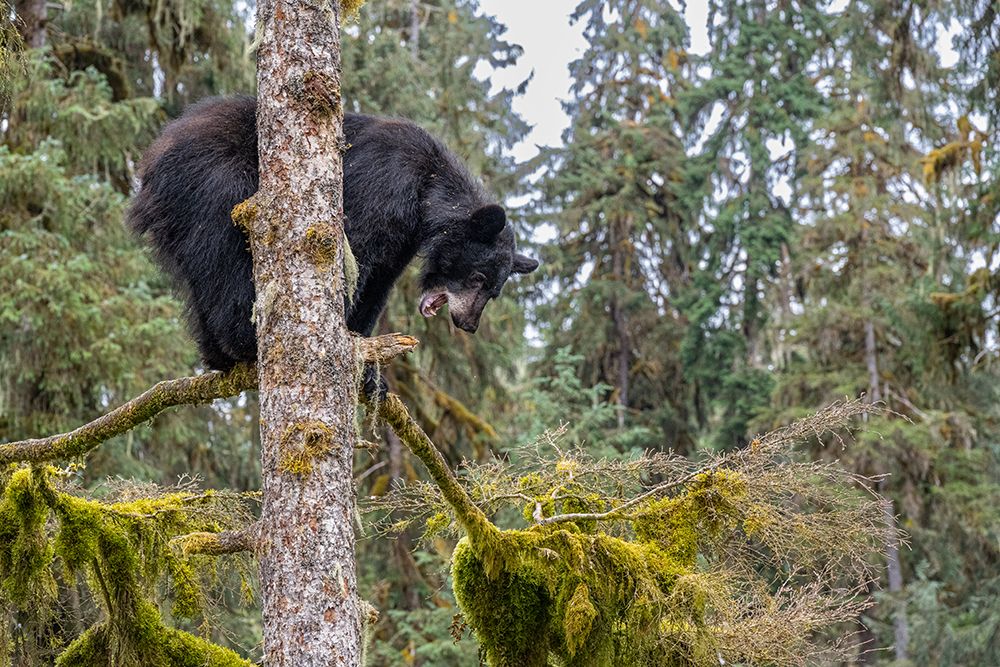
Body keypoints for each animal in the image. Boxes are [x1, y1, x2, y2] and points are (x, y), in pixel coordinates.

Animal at [126, 96, 538, 379]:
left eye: (493, 292)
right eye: (478, 277)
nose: (468, 324)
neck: (428, 188)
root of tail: (153, 155)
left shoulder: (402, 239)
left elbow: (377, 283)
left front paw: (369, 368)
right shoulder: (381, 185)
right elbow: (354, 251)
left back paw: (219, 355)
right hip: (217, 181)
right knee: (222, 253)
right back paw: (244, 337)